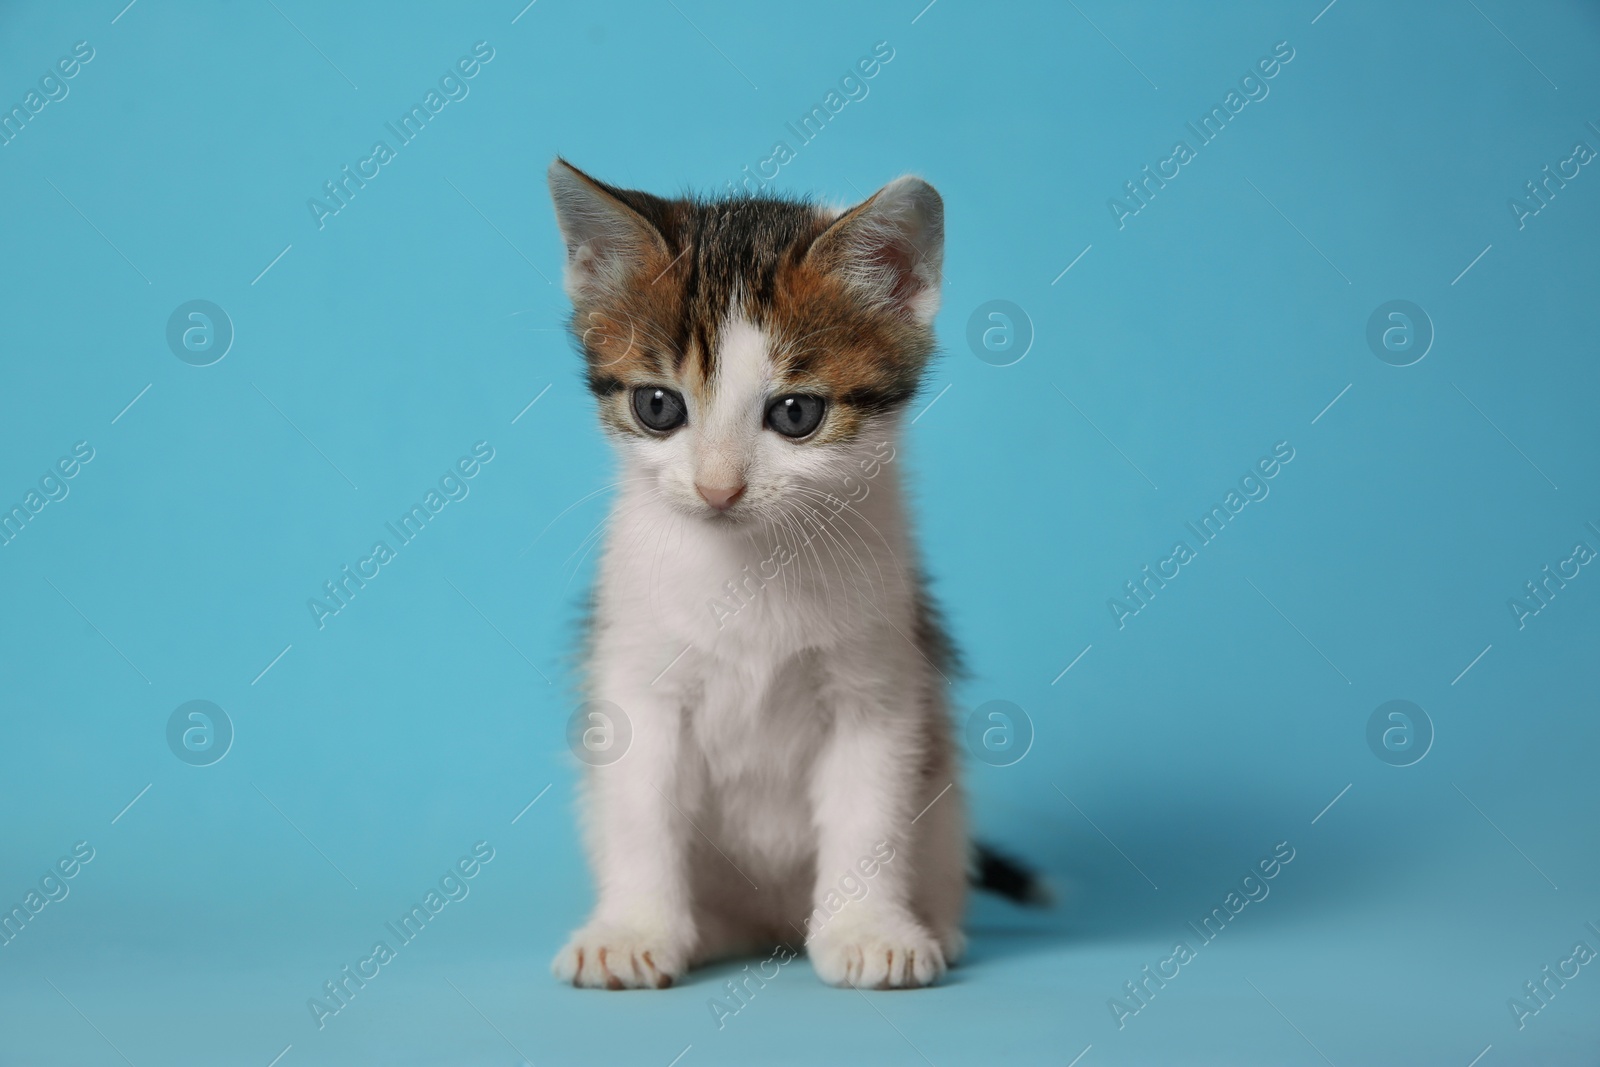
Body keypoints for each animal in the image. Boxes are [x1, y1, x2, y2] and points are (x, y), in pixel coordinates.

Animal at [550, 160, 966, 991]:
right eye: (657, 406)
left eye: (796, 414)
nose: (718, 489)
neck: (751, 567)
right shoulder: (638, 677)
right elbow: (641, 807)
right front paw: (634, 929)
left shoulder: (879, 685)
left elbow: (869, 810)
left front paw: (868, 929)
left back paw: (935, 921)